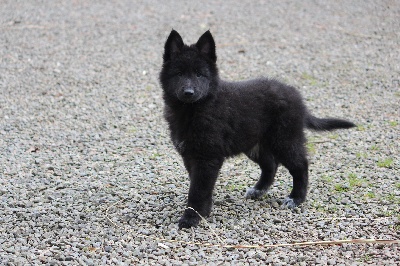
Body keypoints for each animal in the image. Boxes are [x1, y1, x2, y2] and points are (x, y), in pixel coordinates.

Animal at [158, 29, 354, 229]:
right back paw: (259, 190)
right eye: (179, 74)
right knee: (271, 165)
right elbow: (199, 186)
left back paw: (296, 198)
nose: (188, 93)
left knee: (300, 165)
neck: (193, 109)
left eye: (199, 75)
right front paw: (203, 210)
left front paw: (191, 217)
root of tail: (298, 99)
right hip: (255, 144)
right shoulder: (190, 155)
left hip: (284, 140)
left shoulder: (207, 157)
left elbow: (198, 189)